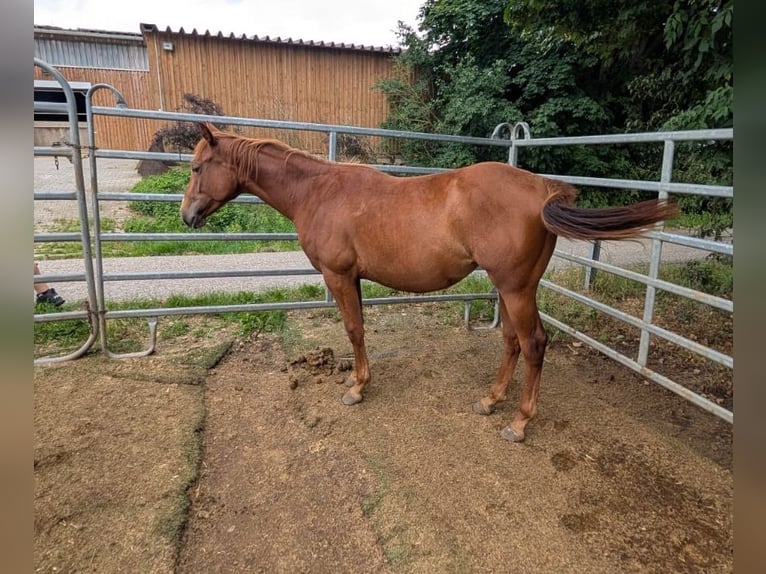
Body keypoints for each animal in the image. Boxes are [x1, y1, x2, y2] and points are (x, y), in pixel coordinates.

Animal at [181, 122, 677, 442]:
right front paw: (361, 381)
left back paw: (518, 422)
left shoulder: (338, 276)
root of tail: (543, 190)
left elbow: (354, 330)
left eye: (196, 168)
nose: (187, 216)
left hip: (516, 289)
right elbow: (360, 331)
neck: (319, 192)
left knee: (533, 343)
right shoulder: (352, 278)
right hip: (511, 288)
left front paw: (356, 389)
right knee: (512, 342)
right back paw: (490, 399)